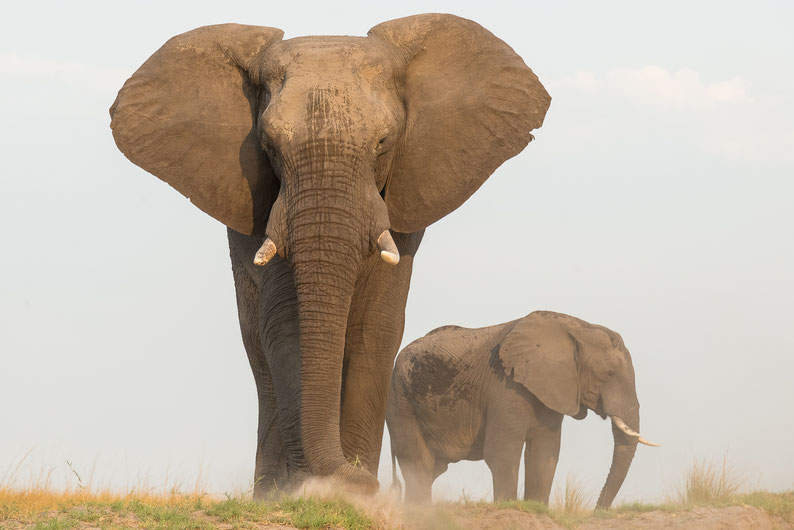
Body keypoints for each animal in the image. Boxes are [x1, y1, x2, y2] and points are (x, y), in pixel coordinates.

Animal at [106, 15, 552, 496]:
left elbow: (376, 326)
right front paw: (312, 487)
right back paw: (269, 490)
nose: (370, 481)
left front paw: (352, 488)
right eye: (269, 145)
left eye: (383, 142)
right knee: (257, 349)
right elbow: (286, 325)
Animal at [386, 310, 656, 504]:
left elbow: (544, 454)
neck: (574, 328)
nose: (596, 511)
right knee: (418, 464)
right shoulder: (505, 388)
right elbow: (502, 452)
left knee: (431, 469)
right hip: (401, 401)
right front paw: (508, 505)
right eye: (609, 374)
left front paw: (536, 507)